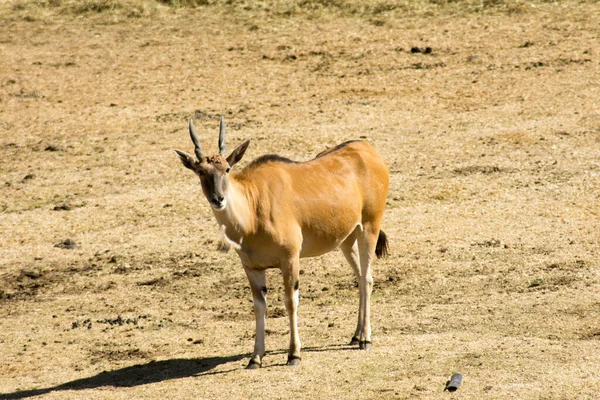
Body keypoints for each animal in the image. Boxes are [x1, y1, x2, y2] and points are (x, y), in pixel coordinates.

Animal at [175, 116, 390, 368]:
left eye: (226, 169)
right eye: (200, 171)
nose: (218, 199)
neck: (254, 206)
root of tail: (368, 150)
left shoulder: (290, 259)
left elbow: (290, 301)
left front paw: (294, 354)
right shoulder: (252, 268)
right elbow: (259, 307)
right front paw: (255, 357)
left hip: (369, 228)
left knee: (366, 278)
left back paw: (366, 338)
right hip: (347, 240)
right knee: (361, 277)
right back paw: (356, 335)